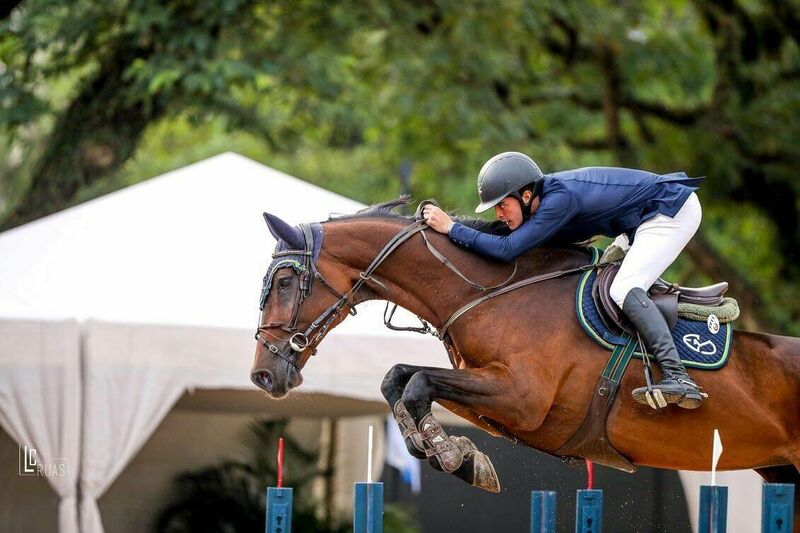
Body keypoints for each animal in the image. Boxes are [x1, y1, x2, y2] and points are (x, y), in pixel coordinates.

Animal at [250, 196, 800, 524]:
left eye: (284, 282)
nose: (263, 375)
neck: (491, 290)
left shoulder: (523, 399)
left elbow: (418, 383)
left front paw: (451, 455)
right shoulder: (493, 397)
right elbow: (399, 380)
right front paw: (455, 454)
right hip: (781, 471)